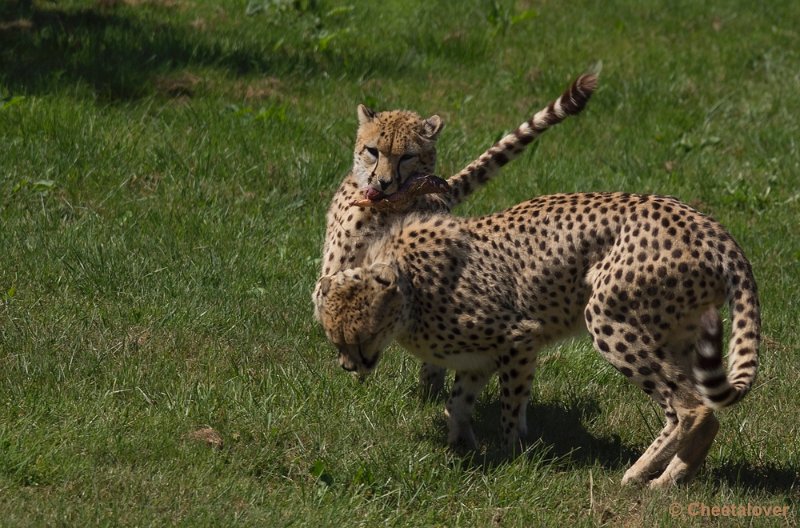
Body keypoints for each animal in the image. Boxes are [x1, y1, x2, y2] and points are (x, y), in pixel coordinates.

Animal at [314, 192, 764, 488]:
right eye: (336, 341)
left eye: (363, 337)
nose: (350, 366)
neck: (410, 288)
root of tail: (716, 232)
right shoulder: (477, 358)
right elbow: (457, 403)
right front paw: (463, 444)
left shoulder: (519, 338)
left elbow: (511, 406)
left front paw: (511, 454)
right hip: (677, 333)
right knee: (698, 407)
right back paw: (669, 476)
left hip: (609, 318)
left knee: (691, 407)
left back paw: (646, 476)